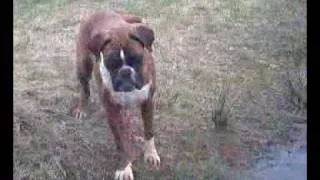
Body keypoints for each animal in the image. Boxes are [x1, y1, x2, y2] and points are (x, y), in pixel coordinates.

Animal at [71, 10, 159, 180]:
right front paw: (124, 168)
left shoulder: (148, 102)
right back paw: (82, 108)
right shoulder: (112, 111)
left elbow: (149, 130)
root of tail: (98, 11)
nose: (125, 72)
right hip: (83, 65)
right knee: (84, 89)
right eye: (111, 62)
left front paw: (151, 154)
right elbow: (121, 143)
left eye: (137, 58)